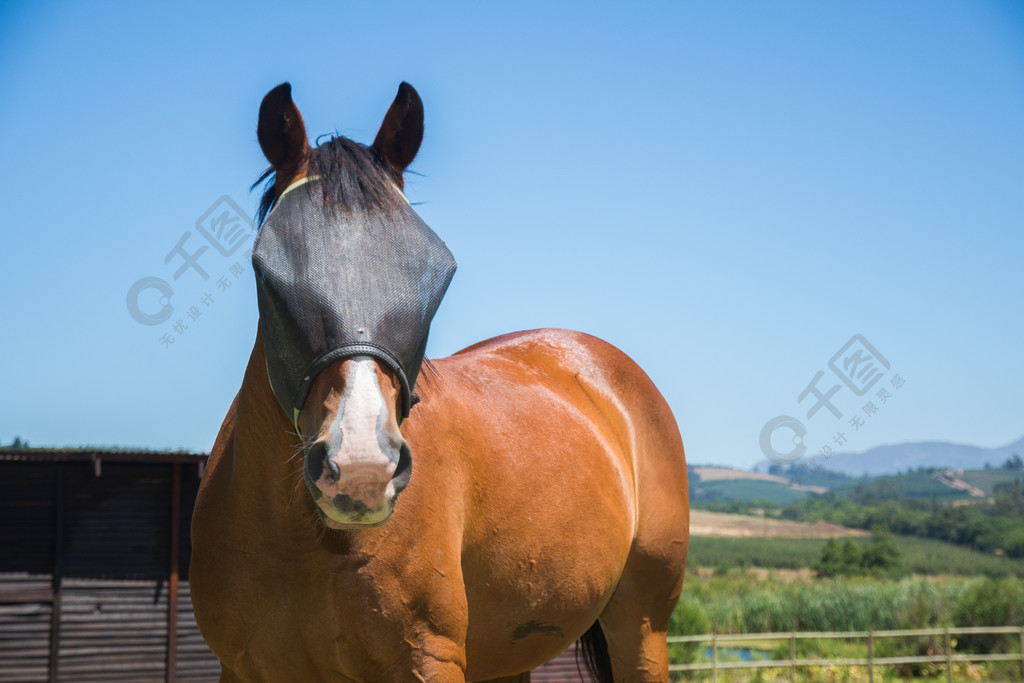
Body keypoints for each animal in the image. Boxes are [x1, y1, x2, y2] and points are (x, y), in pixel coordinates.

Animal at [191, 82, 688, 679]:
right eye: (266, 267)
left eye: (438, 271)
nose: (362, 467)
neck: (305, 543)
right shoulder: (242, 669)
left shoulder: (428, 659)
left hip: (641, 627)